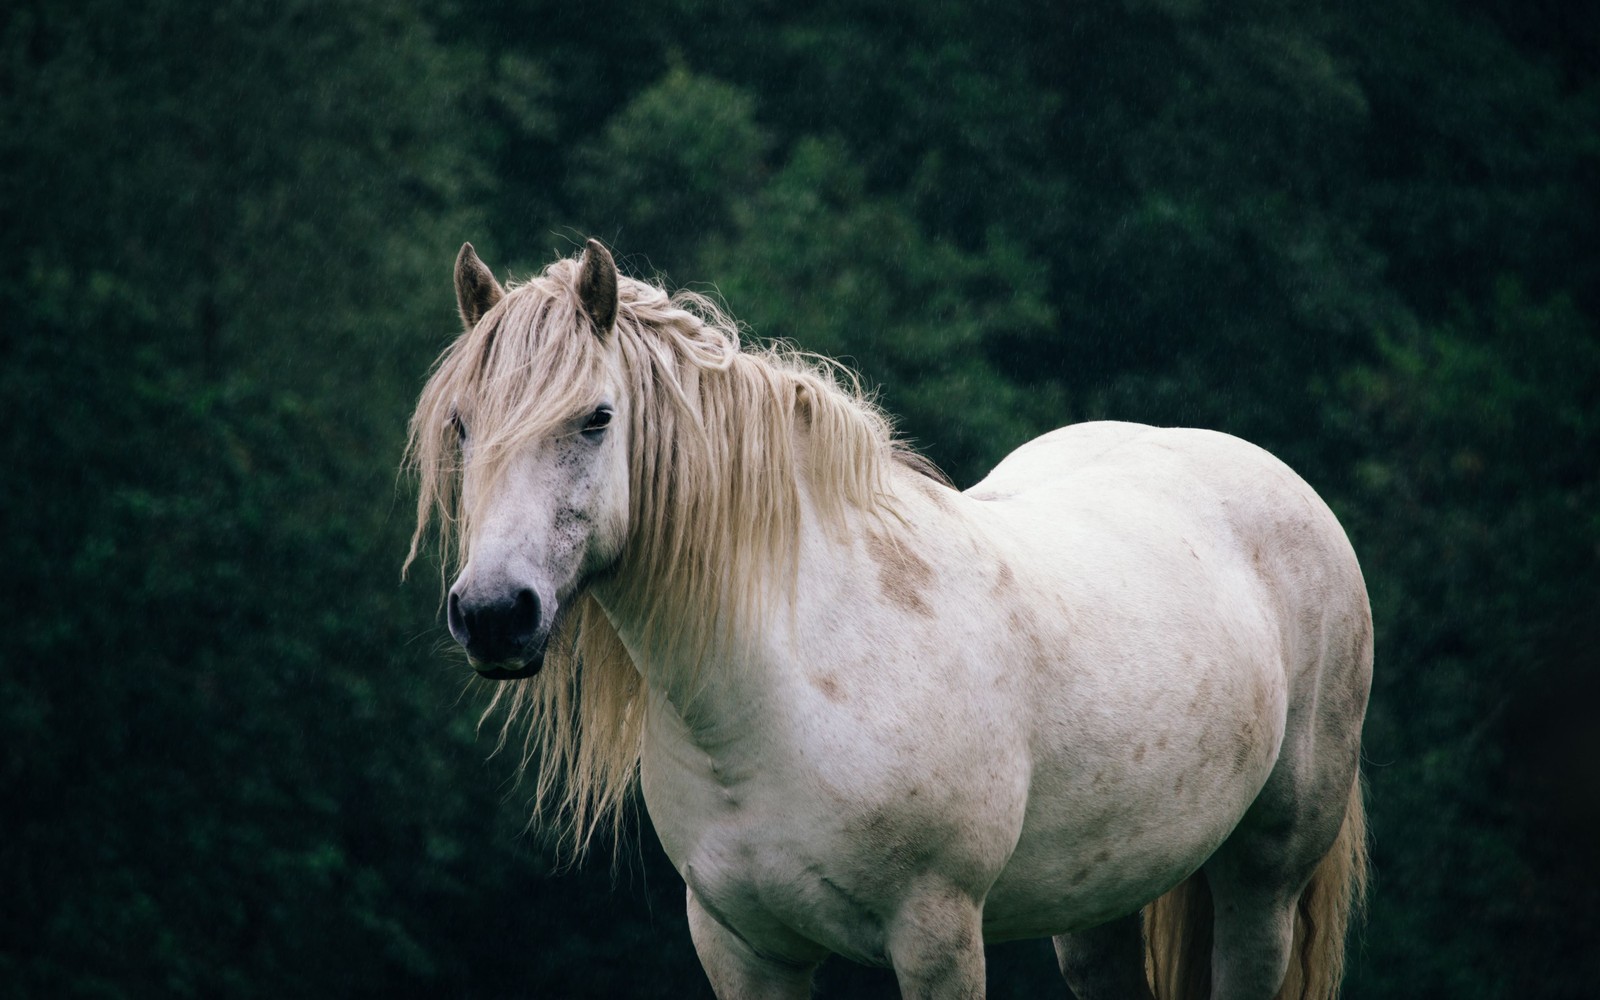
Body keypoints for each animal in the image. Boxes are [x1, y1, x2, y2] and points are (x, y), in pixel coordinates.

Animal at [406, 241, 1369, 998]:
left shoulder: (937, 937)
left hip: (1263, 880)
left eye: (597, 418)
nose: (494, 614)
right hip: (1098, 900)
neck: (787, 684)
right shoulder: (743, 949)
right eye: (462, 426)